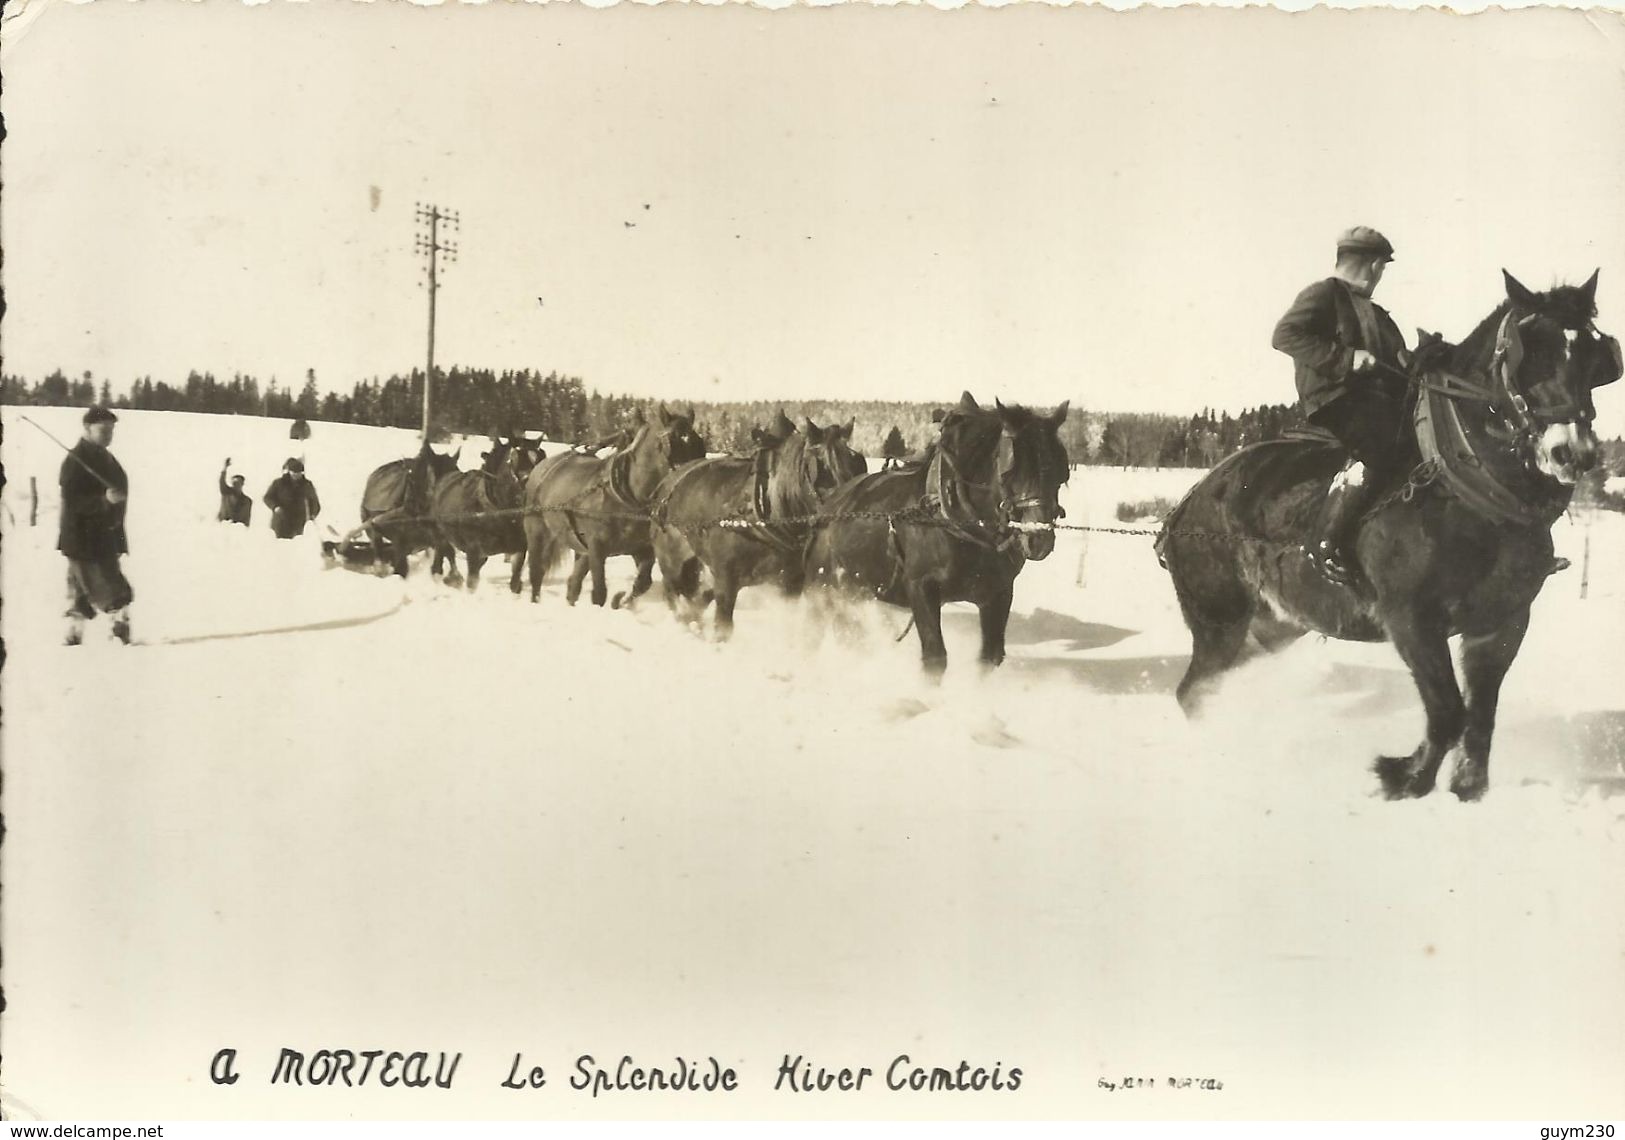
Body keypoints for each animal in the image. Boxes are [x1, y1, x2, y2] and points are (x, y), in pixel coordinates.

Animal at [432, 438, 546, 594]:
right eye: (513, 459)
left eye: (541, 458)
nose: (534, 489)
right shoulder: (473, 551)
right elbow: (472, 582)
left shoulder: (519, 548)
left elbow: (515, 581)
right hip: (442, 533)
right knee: (446, 552)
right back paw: (449, 577)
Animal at [520, 409, 698, 610]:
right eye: (674, 441)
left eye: (699, 441)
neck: (626, 497)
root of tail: (541, 468)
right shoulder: (597, 548)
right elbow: (599, 592)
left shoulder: (641, 549)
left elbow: (643, 583)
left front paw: (620, 600)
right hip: (537, 531)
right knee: (537, 573)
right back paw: (534, 601)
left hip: (581, 547)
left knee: (573, 583)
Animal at [650, 412, 871, 643]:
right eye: (821, 469)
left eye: (859, 463)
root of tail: (667, 484)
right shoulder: (726, 581)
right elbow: (723, 627)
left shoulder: (790, 584)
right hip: (674, 564)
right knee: (674, 595)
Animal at [802, 394, 1079, 678]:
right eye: (1009, 471)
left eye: (1061, 473)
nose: (1038, 539)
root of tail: (830, 504)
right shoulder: (921, 588)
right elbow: (935, 658)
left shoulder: (999, 593)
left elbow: (989, 658)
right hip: (821, 584)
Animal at [1163, 269, 1618, 805]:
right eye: (1530, 349)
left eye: (1596, 355)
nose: (1573, 453)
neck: (1470, 495)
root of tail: (1188, 501)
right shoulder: (1410, 619)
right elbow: (1448, 711)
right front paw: (1403, 777)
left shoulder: (1502, 623)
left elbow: (1480, 718)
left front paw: (1467, 789)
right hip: (1219, 622)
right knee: (1192, 693)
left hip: (1274, 625)